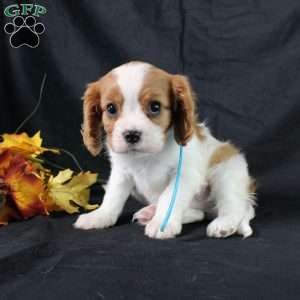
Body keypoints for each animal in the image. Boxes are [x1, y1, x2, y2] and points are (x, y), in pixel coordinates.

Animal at [73, 61, 255, 239]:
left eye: (155, 107)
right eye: (111, 108)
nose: (131, 135)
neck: (148, 155)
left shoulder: (184, 174)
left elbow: (168, 199)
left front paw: (162, 223)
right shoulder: (121, 172)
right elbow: (113, 196)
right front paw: (100, 216)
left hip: (227, 172)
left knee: (233, 205)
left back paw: (224, 224)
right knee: (199, 214)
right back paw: (150, 212)